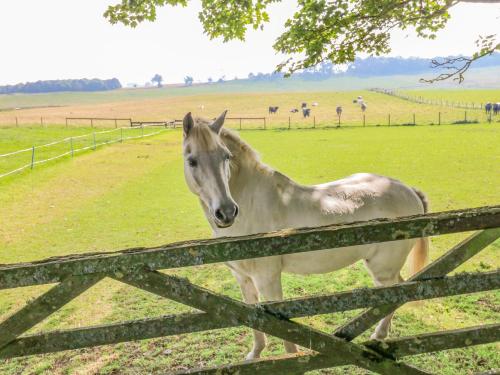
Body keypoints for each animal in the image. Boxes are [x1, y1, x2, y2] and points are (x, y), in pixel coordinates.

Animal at [182, 112, 428, 362]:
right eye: (191, 160)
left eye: (226, 156)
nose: (226, 212)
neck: (252, 204)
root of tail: (408, 190)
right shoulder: (243, 278)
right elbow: (252, 319)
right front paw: (255, 354)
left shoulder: (267, 279)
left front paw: (291, 359)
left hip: (382, 270)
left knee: (394, 294)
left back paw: (378, 336)